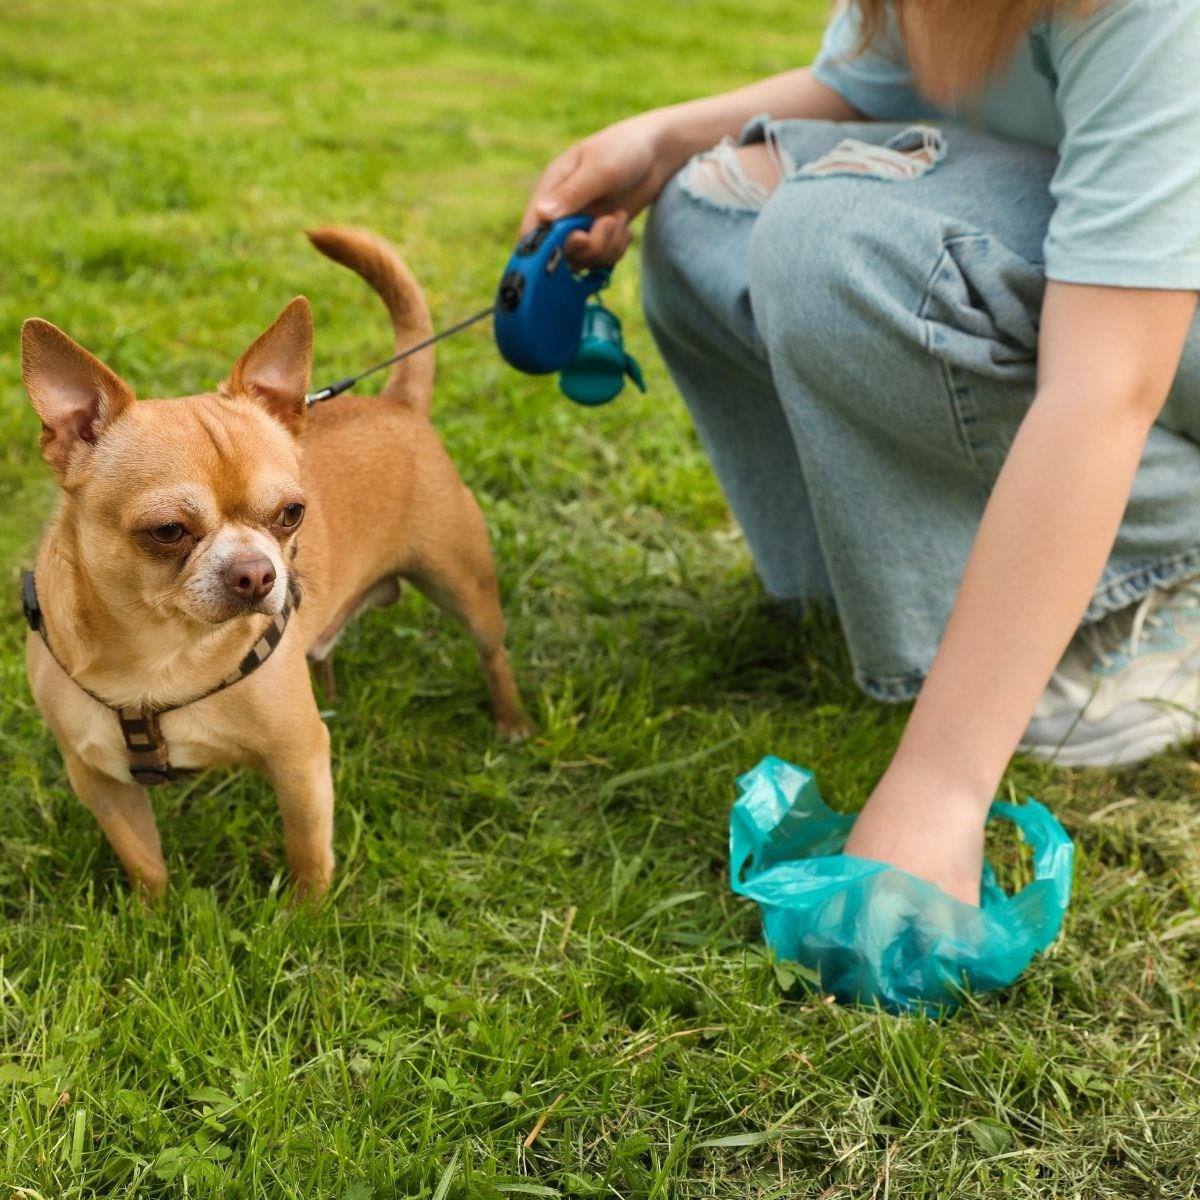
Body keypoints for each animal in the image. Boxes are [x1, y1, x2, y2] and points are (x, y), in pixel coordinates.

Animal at [22, 225, 530, 902]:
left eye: (292, 513)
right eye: (167, 532)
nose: (258, 573)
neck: (161, 655)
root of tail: (398, 403)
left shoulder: (300, 761)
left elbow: (308, 850)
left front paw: (307, 916)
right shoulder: (99, 780)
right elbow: (144, 861)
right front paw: (154, 914)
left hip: (463, 585)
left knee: (492, 653)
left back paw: (511, 721)